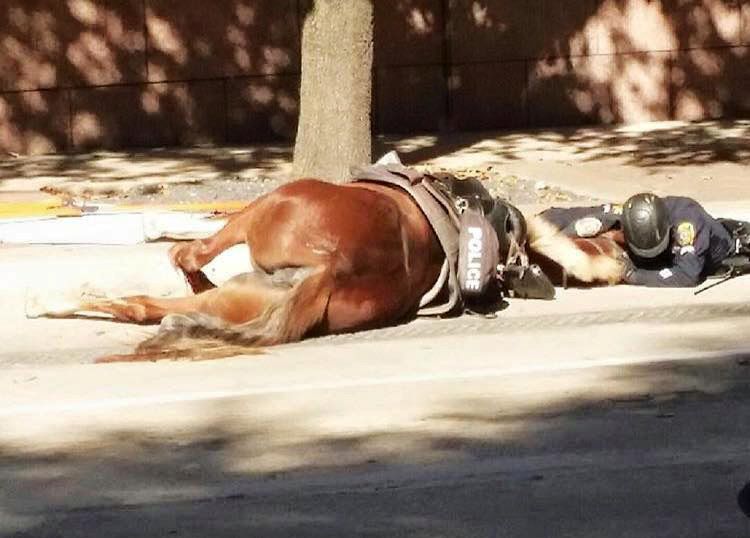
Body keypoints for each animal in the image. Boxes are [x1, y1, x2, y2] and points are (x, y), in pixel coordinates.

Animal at [29, 162, 545, 363]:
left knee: (175, 268)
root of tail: (328, 269)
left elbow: (188, 245)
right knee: (151, 307)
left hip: (262, 210)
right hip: (240, 294)